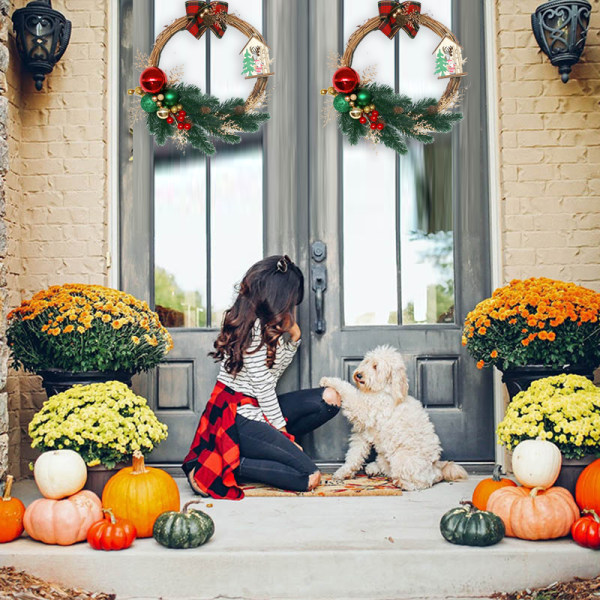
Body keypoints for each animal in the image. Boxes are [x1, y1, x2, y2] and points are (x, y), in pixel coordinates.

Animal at [318, 344, 468, 490]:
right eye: (367, 362)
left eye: (376, 366)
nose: (359, 375)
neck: (382, 390)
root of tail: (437, 468)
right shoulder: (362, 433)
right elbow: (354, 455)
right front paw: (343, 472)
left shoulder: (363, 408)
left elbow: (348, 390)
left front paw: (329, 380)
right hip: (384, 456)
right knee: (387, 468)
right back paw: (374, 468)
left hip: (401, 458)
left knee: (421, 482)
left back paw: (402, 483)